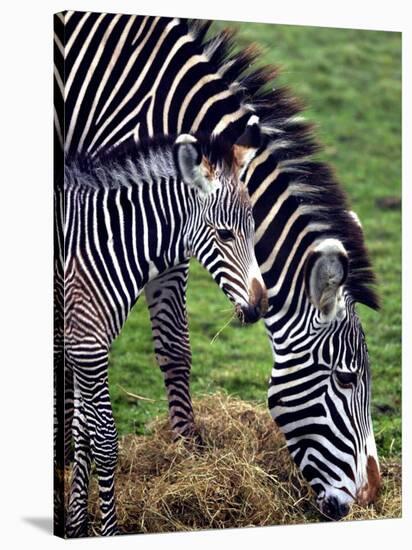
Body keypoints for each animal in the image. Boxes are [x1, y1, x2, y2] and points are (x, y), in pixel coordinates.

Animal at [61, 121, 268, 540]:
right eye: (224, 235)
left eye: (255, 228)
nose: (259, 307)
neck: (106, 242)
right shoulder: (89, 345)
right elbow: (103, 439)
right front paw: (108, 530)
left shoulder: (82, 345)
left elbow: (82, 432)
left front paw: (76, 524)